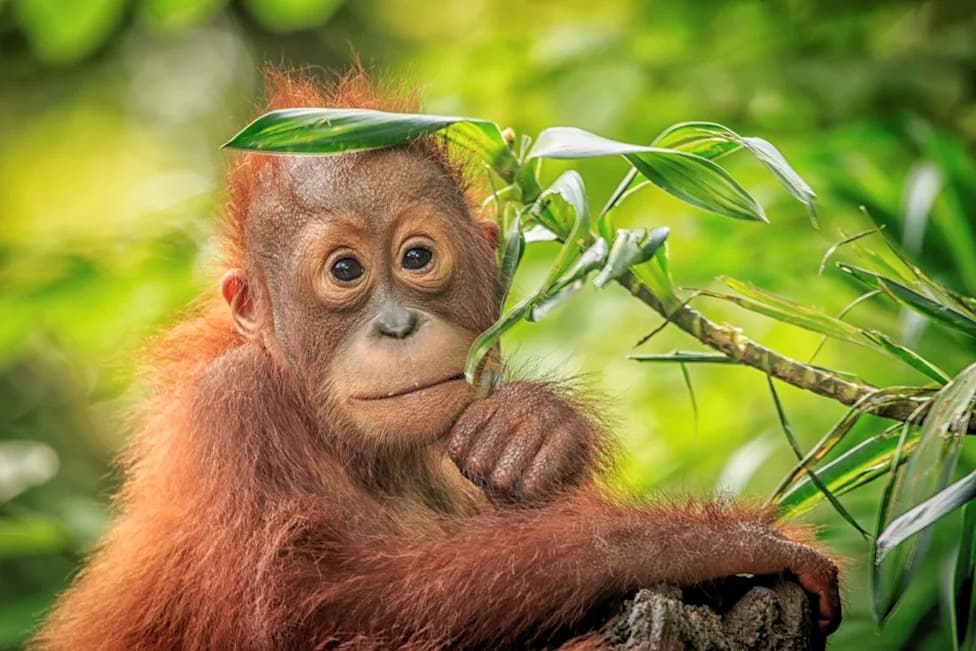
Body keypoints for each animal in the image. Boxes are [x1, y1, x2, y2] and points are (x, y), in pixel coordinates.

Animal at [31, 69, 840, 650]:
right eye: (345, 271)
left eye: (416, 257)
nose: (396, 324)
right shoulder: (231, 409)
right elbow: (311, 603)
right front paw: (702, 544)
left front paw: (532, 432)